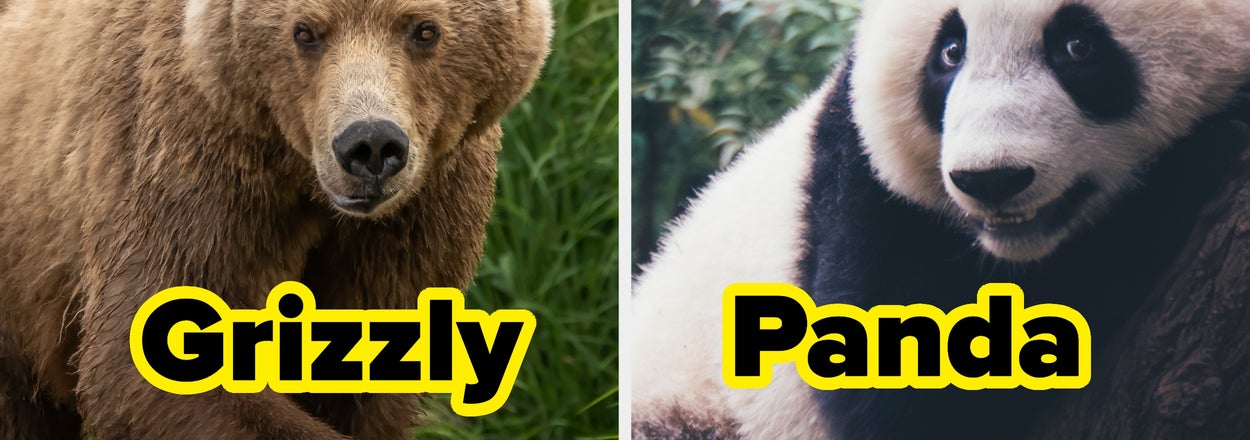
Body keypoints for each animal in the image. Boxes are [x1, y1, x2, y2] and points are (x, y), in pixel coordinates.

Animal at [0, 0, 550, 439]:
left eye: (424, 29)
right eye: (305, 31)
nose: (370, 145)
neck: (302, 181)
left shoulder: (423, 207)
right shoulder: (188, 159)